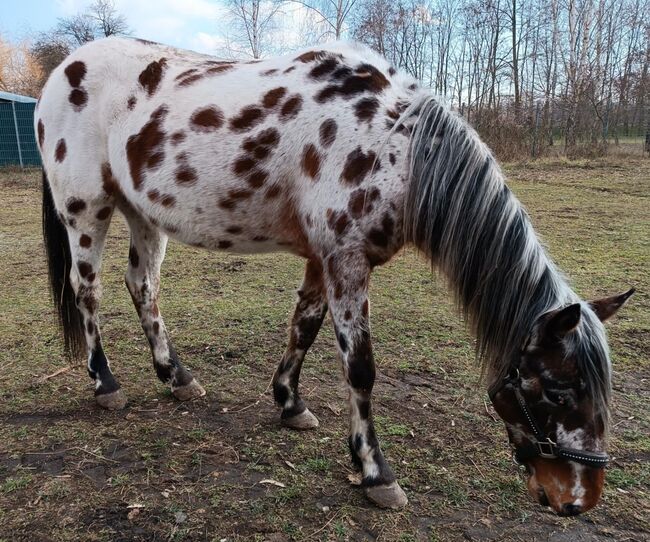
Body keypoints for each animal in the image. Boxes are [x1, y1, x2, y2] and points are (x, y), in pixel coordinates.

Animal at [36, 37, 632, 516]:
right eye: (557, 391)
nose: (578, 500)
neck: (391, 143)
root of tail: (62, 71)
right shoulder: (346, 261)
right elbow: (361, 368)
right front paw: (375, 473)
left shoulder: (323, 259)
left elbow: (305, 325)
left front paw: (289, 403)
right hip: (86, 210)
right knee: (88, 291)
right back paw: (106, 383)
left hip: (143, 214)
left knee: (143, 286)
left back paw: (176, 377)